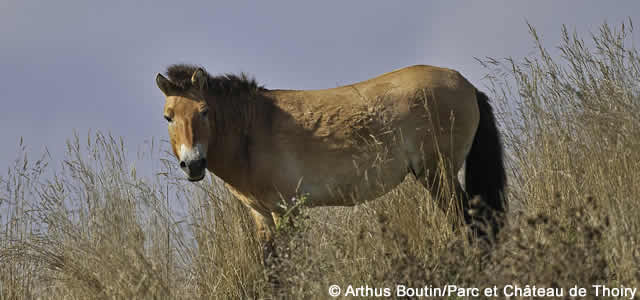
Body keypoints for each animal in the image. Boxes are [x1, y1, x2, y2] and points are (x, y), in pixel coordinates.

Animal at [155, 64, 504, 245]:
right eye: (168, 117)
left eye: (204, 111)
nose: (193, 164)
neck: (252, 131)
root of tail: (467, 86)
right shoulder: (262, 216)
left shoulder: (286, 210)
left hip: (438, 175)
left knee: (469, 224)